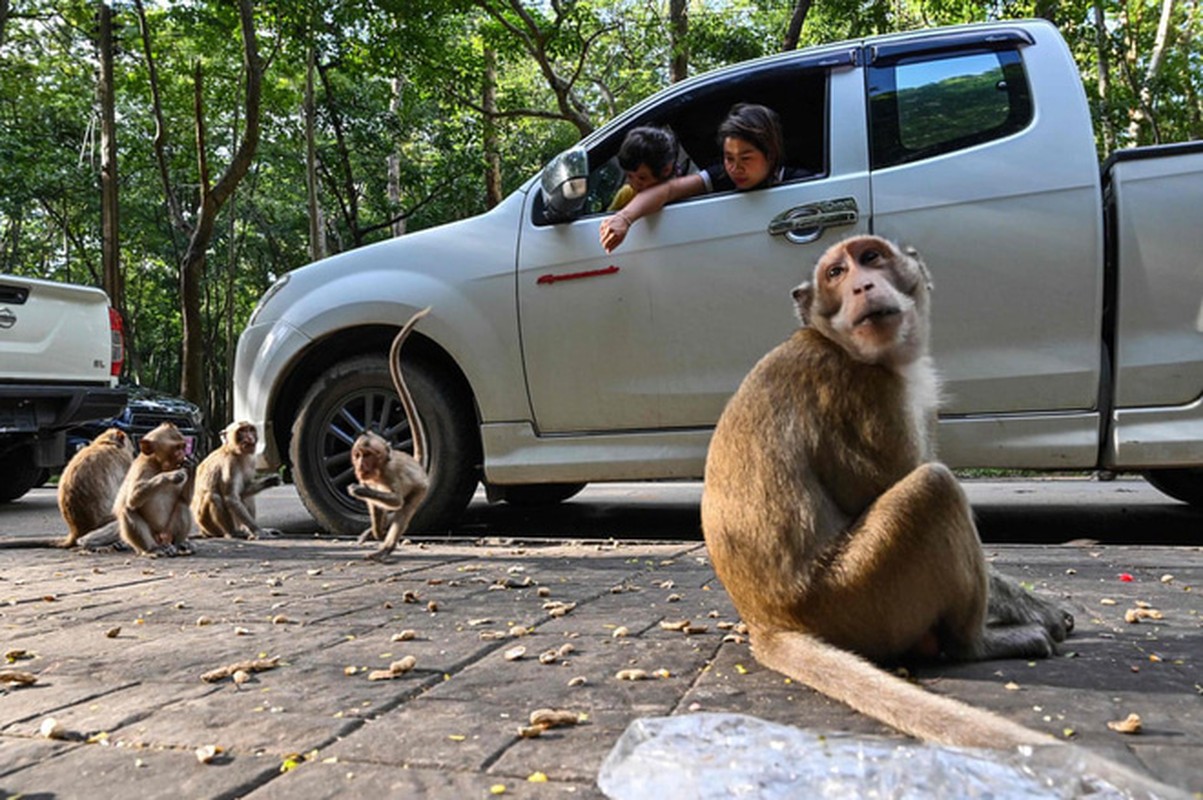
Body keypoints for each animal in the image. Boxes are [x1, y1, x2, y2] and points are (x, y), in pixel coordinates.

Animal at [348, 305, 433, 560]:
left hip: (421, 488)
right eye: (358, 455)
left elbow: (396, 501)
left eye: (368, 455)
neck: (379, 470)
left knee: (404, 509)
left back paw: (386, 547)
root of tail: (417, 464)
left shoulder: (390, 474)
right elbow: (378, 504)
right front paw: (376, 529)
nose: (360, 466)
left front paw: (358, 490)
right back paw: (378, 534)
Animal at [702, 232, 1077, 750]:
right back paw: (977, 643)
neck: (841, 345)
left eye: (871, 257)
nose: (862, 285)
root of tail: (767, 620)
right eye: (835, 273)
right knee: (934, 488)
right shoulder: (861, 393)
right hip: (853, 598)